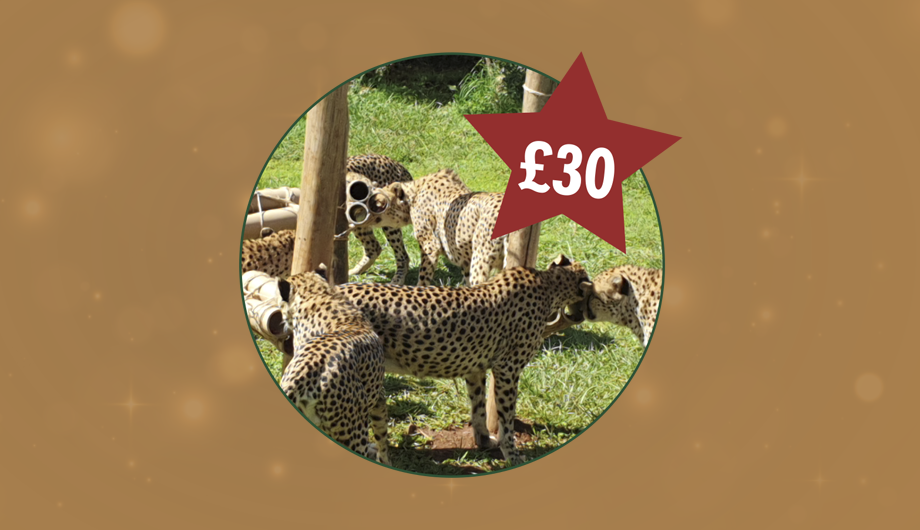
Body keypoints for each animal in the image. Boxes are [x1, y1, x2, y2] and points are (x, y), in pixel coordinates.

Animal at [352, 168, 508, 287]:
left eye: (377, 203)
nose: (356, 214)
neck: (413, 194)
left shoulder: (430, 244)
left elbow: (424, 275)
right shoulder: (464, 257)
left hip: (481, 259)